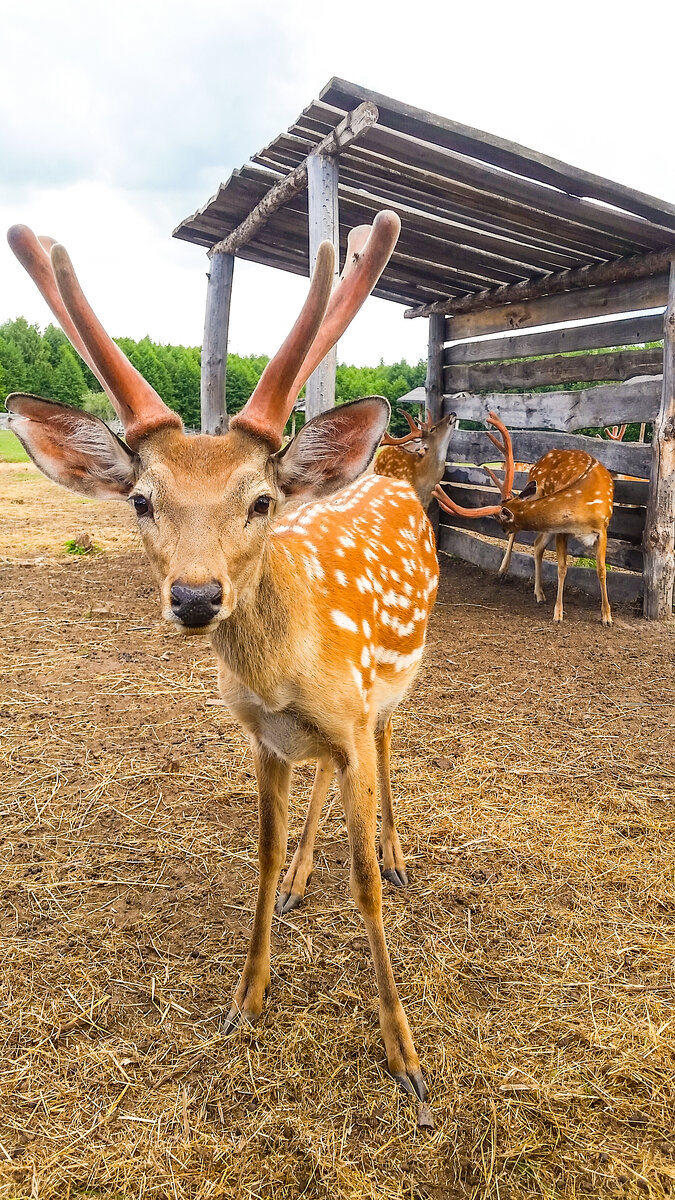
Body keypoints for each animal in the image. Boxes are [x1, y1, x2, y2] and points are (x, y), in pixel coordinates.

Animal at [9, 213, 437, 1099]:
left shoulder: (349, 715)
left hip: (396, 683)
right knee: (326, 778)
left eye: (261, 500)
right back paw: (305, 880)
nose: (197, 596)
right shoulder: (264, 738)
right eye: (142, 500)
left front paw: (405, 1056)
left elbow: (363, 885)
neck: (285, 677)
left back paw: (400, 853)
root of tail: (385, 472)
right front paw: (247, 996)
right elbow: (263, 858)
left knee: (388, 744)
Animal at [429, 422, 614, 628]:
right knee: (533, 542)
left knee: (537, 544)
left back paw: (539, 593)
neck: (580, 507)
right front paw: (558, 613)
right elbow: (562, 568)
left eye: (499, 520)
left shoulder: (602, 528)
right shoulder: (562, 531)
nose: (503, 529)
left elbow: (601, 570)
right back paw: (507, 573)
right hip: (537, 493)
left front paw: (607, 616)